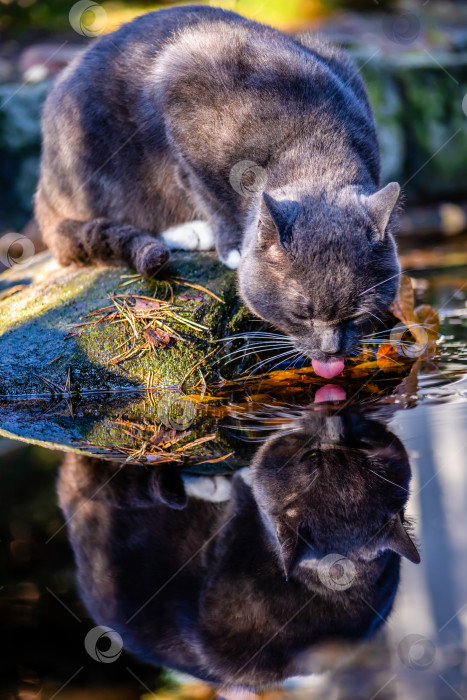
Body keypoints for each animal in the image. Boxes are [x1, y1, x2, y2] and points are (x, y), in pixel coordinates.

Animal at [36, 4, 402, 378]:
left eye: (357, 313)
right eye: (301, 313)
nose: (331, 351)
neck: (311, 140)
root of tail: (45, 188)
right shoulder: (184, 95)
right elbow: (207, 192)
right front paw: (233, 248)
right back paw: (190, 232)